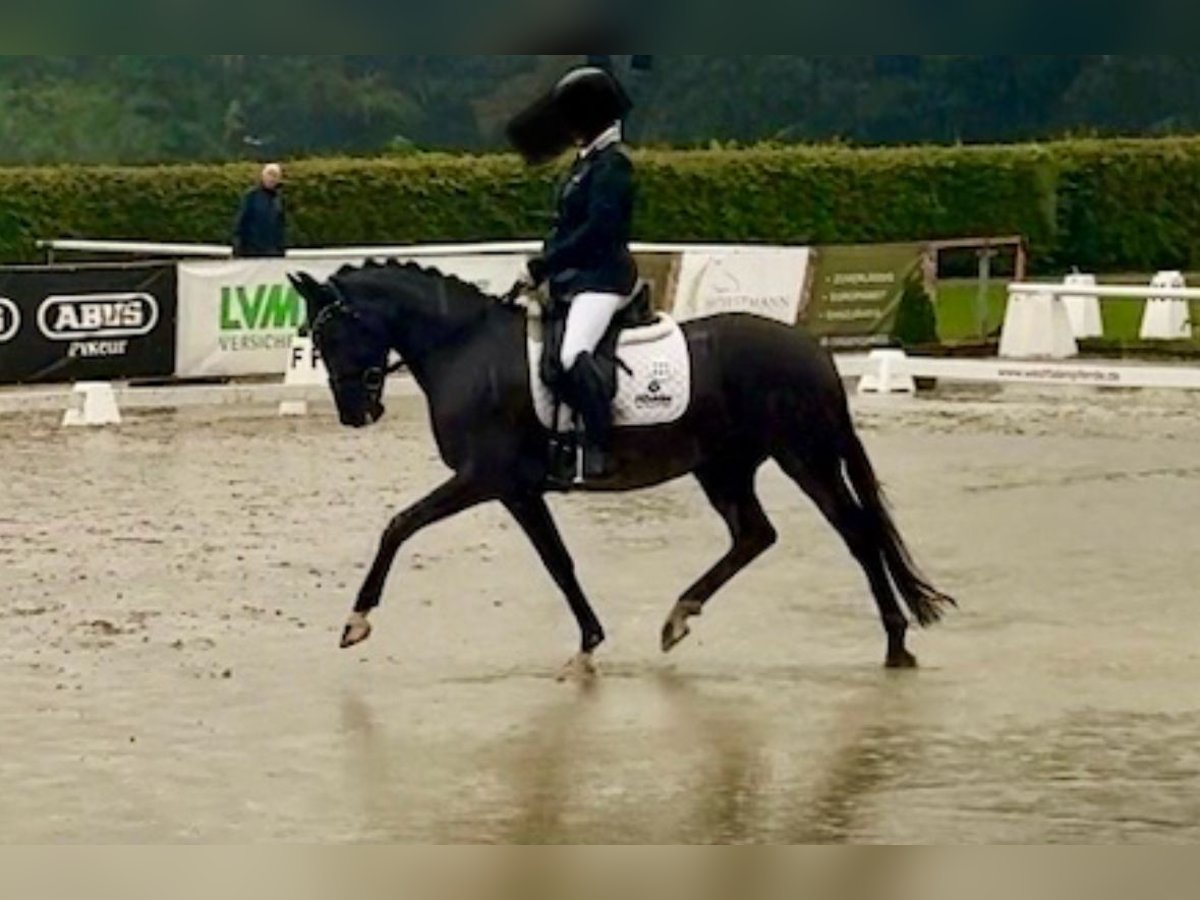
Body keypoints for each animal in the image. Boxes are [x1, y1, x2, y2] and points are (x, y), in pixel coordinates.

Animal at [288, 260, 955, 676]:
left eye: (333, 333)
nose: (356, 413)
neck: (466, 348)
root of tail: (811, 350)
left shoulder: (486, 478)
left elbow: (399, 525)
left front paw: (355, 622)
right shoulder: (519, 490)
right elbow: (558, 563)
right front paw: (589, 645)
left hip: (804, 454)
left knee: (858, 534)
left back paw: (896, 643)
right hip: (724, 466)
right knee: (756, 534)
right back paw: (678, 617)